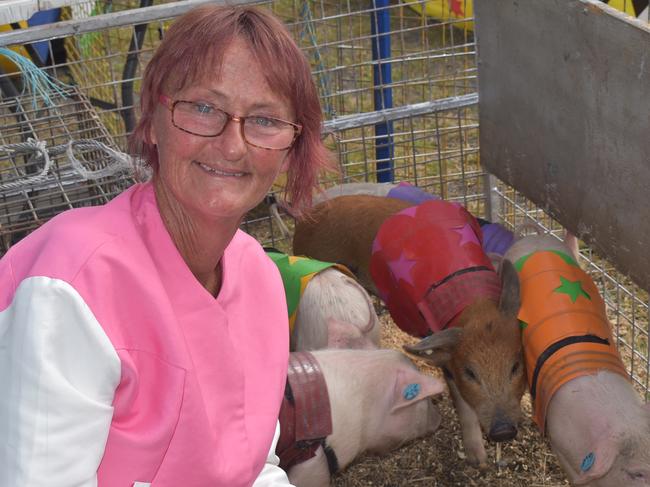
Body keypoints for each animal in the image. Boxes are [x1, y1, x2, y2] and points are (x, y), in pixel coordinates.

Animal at [294, 194, 528, 466]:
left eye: (516, 366)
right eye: (469, 372)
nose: (503, 431)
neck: (473, 304)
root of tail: (303, 222)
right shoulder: (446, 355)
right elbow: (463, 405)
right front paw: (479, 463)